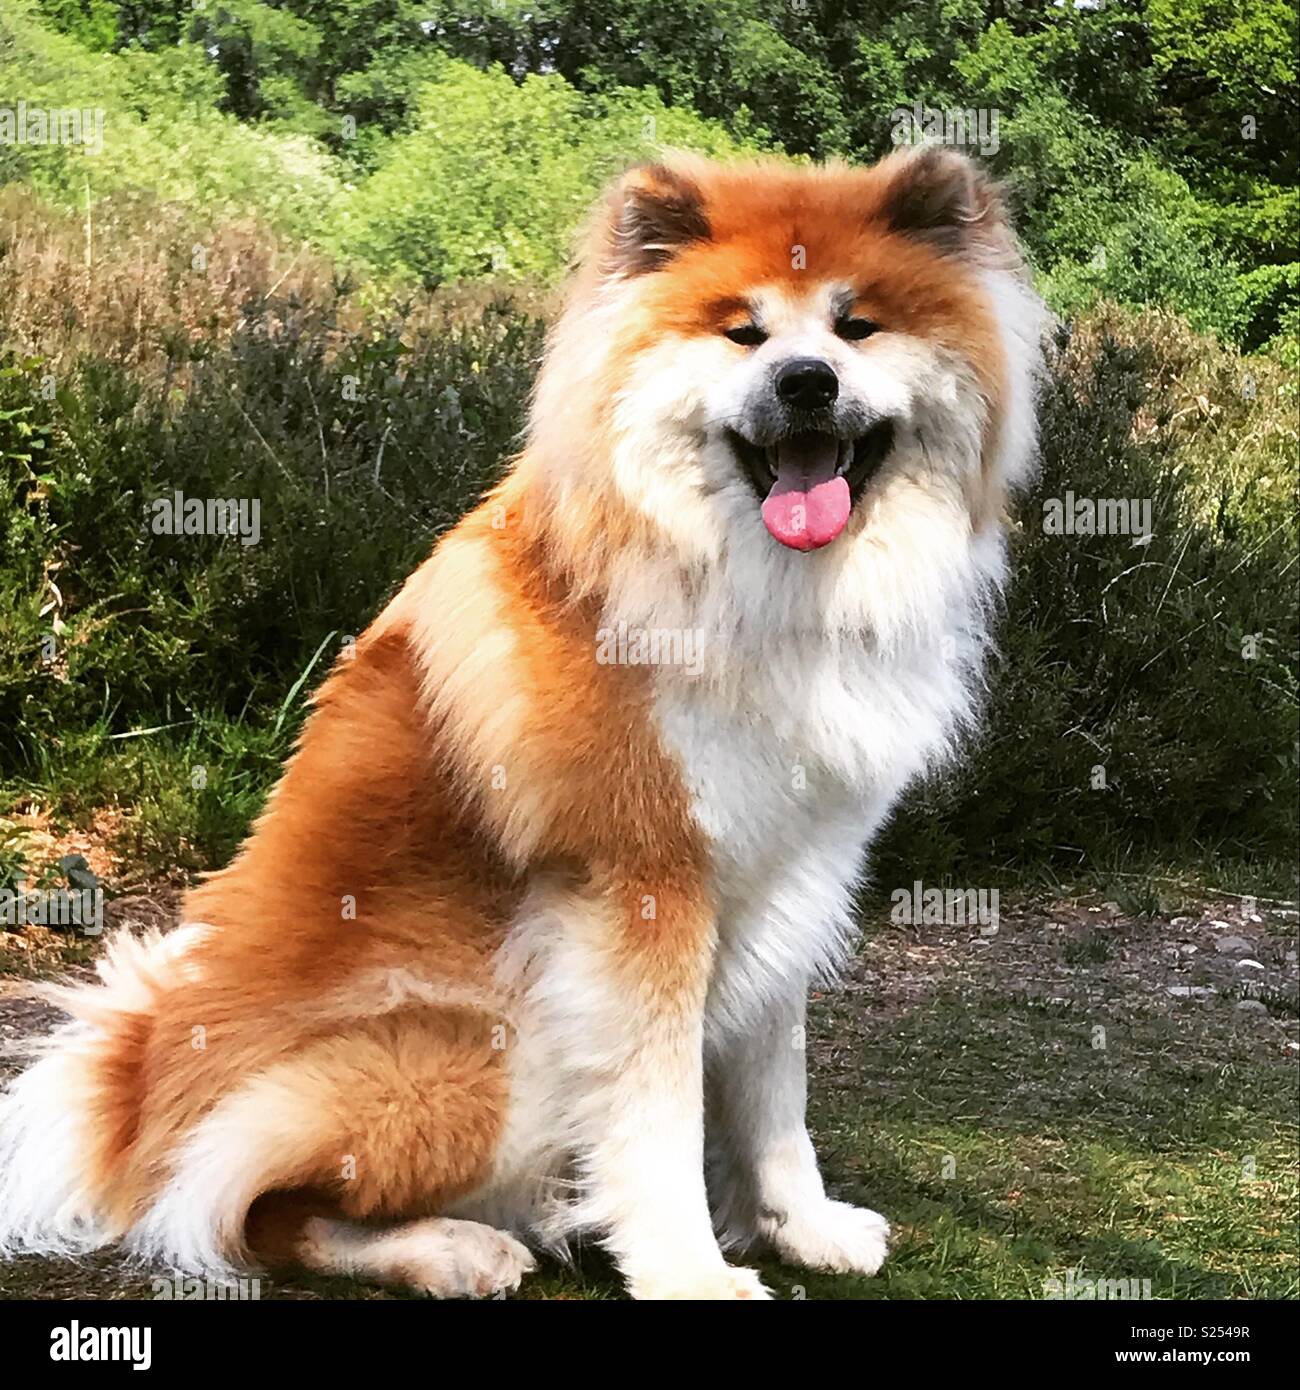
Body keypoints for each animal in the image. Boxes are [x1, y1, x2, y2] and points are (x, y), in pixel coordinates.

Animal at [0, 146, 1040, 1295]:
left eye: (856, 327)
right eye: (744, 333)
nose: (804, 380)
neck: (753, 585)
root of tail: (135, 1104)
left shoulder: (789, 870)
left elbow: (776, 1086)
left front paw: (797, 1223)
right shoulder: (643, 885)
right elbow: (656, 1118)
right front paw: (686, 1267)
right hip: (478, 1047)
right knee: (261, 1211)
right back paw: (457, 1248)